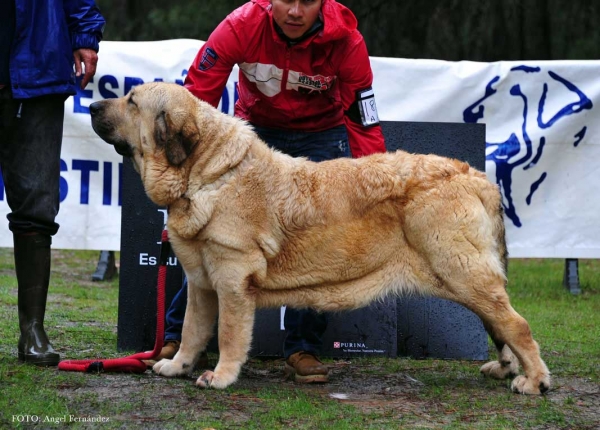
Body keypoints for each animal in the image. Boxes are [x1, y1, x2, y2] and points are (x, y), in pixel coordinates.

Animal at [90, 82, 552, 394]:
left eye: (132, 102)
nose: (92, 104)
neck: (207, 173)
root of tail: (476, 176)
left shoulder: (232, 282)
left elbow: (229, 335)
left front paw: (220, 377)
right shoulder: (203, 285)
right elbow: (190, 331)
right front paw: (177, 366)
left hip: (463, 273)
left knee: (517, 324)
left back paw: (533, 382)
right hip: (466, 278)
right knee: (500, 324)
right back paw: (506, 369)